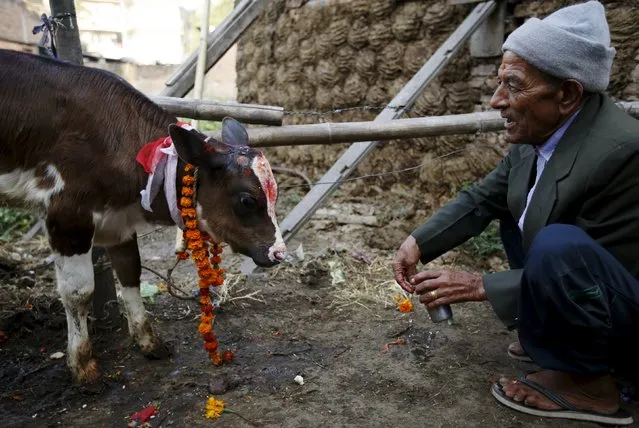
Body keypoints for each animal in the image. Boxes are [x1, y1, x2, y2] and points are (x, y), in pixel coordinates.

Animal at [0, 49, 288, 382]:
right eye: (247, 200)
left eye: (274, 194)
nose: (279, 253)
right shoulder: (67, 214)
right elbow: (78, 292)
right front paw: (83, 364)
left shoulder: (117, 222)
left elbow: (130, 273)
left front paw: (149, 342)